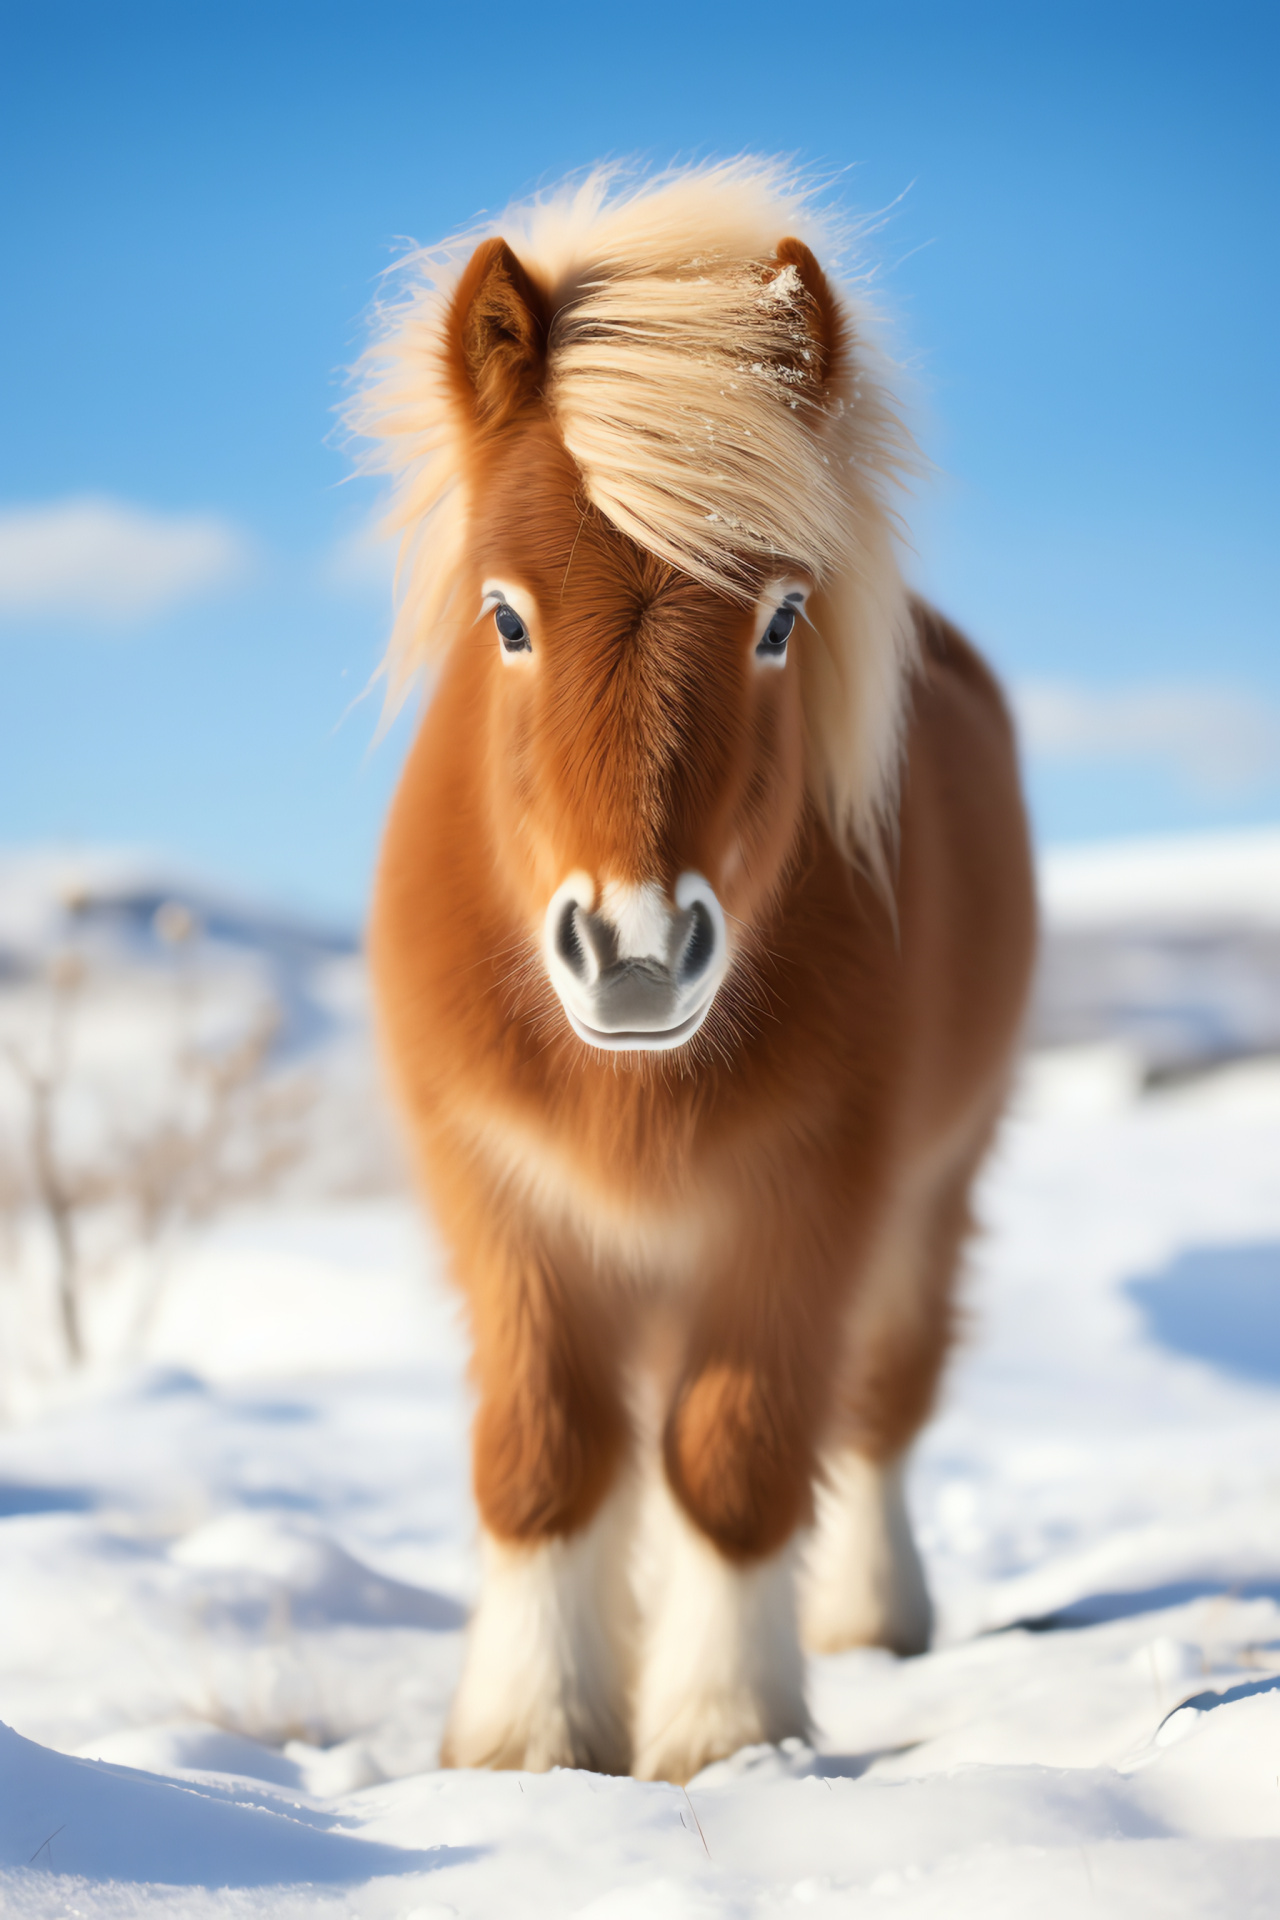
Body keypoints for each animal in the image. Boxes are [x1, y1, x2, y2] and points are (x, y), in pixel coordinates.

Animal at [355, 161, 1036, 1781]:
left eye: (781, 615)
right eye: (506, 614)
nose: (639, 956)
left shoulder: (809, 1200)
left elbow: (735, 1456)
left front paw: (726, 1733)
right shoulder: (504, 1197)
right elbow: (547, 1453)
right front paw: (532, 1737)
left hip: (936, 1187)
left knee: (880, 1404)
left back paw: (867, 1617)